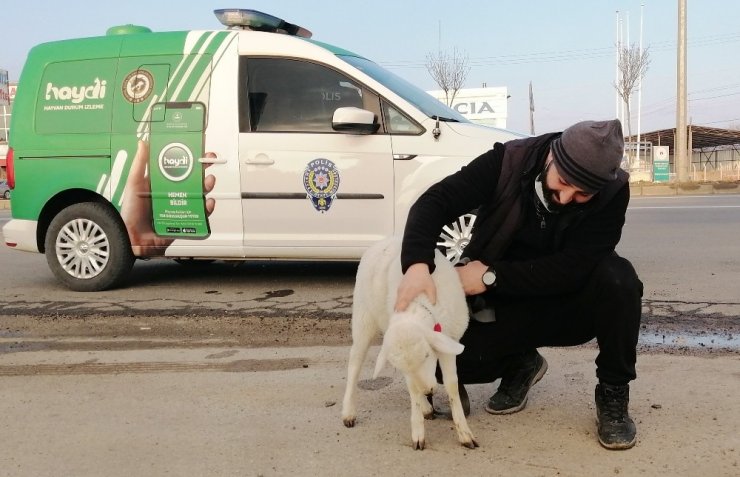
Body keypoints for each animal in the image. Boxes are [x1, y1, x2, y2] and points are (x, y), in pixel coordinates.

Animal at [342, 236, 480, 448]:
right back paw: (348, 412)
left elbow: (451, 386)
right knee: (355, 363)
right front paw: (418, 433)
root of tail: (383, 241)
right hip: (363, 318)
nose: (429, 389)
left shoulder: (448, 341)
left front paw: (464, 433)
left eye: (427, 355)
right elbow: (412, 389)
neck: (418, 302)